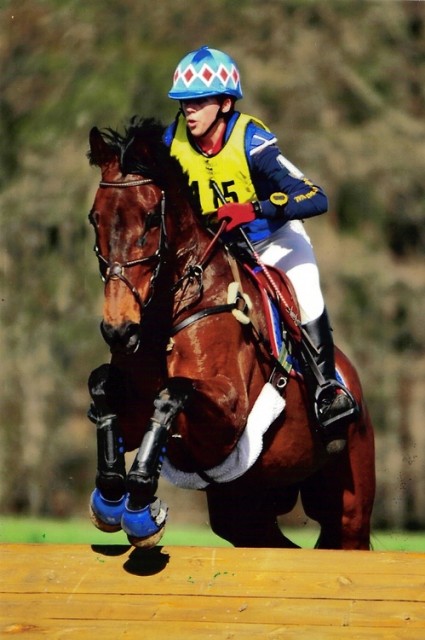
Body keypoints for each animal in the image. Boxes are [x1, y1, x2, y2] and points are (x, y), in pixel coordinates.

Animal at [86, 117, 374, 548]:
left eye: (152, 218)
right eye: (95, 218)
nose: (119, 331)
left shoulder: (227, 418)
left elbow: (171, 394)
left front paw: (139, 502)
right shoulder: (136, 414)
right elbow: (103, 385)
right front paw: (109, 495)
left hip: (348, 503)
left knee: (345, 533)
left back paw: (333, 401)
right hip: (243, 508)